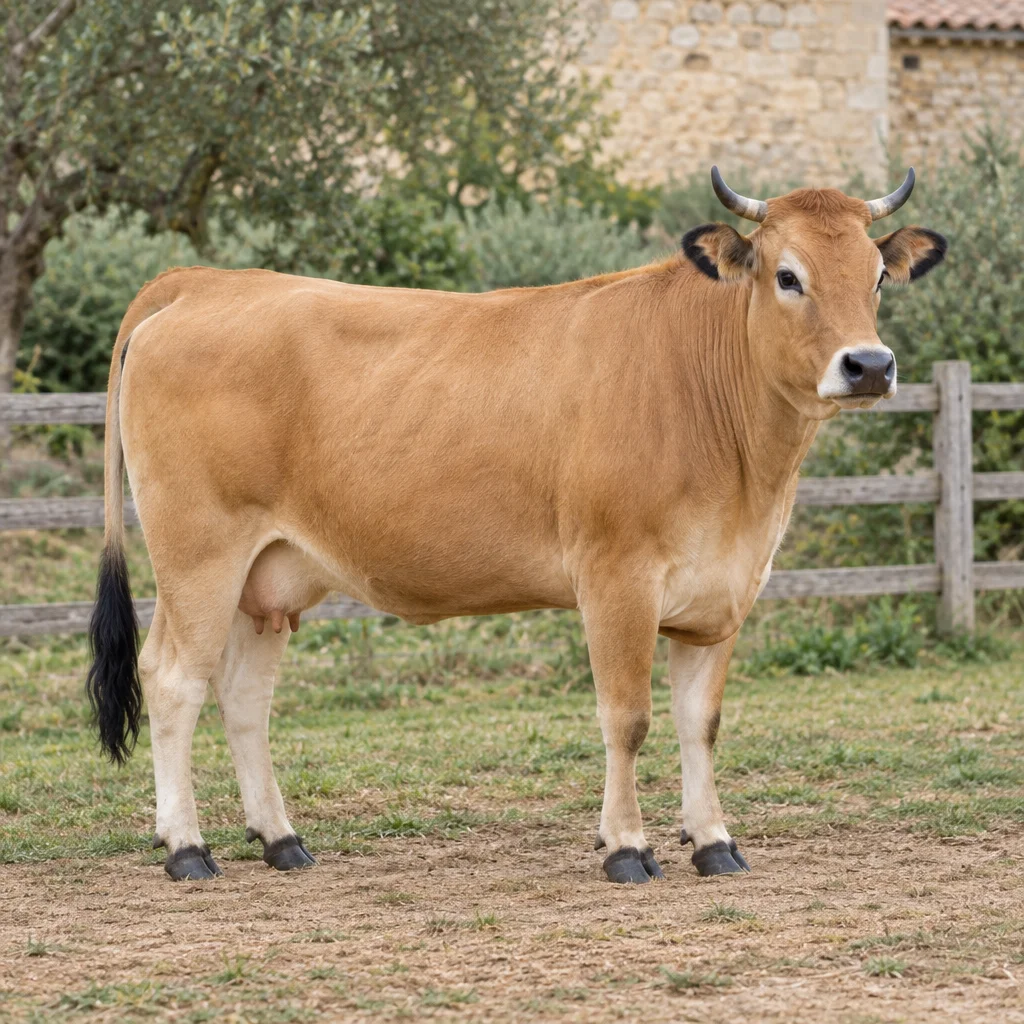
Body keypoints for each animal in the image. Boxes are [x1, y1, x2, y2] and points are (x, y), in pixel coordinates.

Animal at [86, 168, 947, 884]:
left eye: (876, 276)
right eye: (787, 275)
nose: (870, 365)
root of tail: (203, 284)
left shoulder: (722, 592)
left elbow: (699, 724)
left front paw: (713, 842)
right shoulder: (616, 579)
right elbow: (627, 718)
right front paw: (626, 847)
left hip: (269, 574)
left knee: (242, 696)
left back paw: (281, 840)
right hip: (199, 555)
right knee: (173, 680)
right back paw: (186, 848)